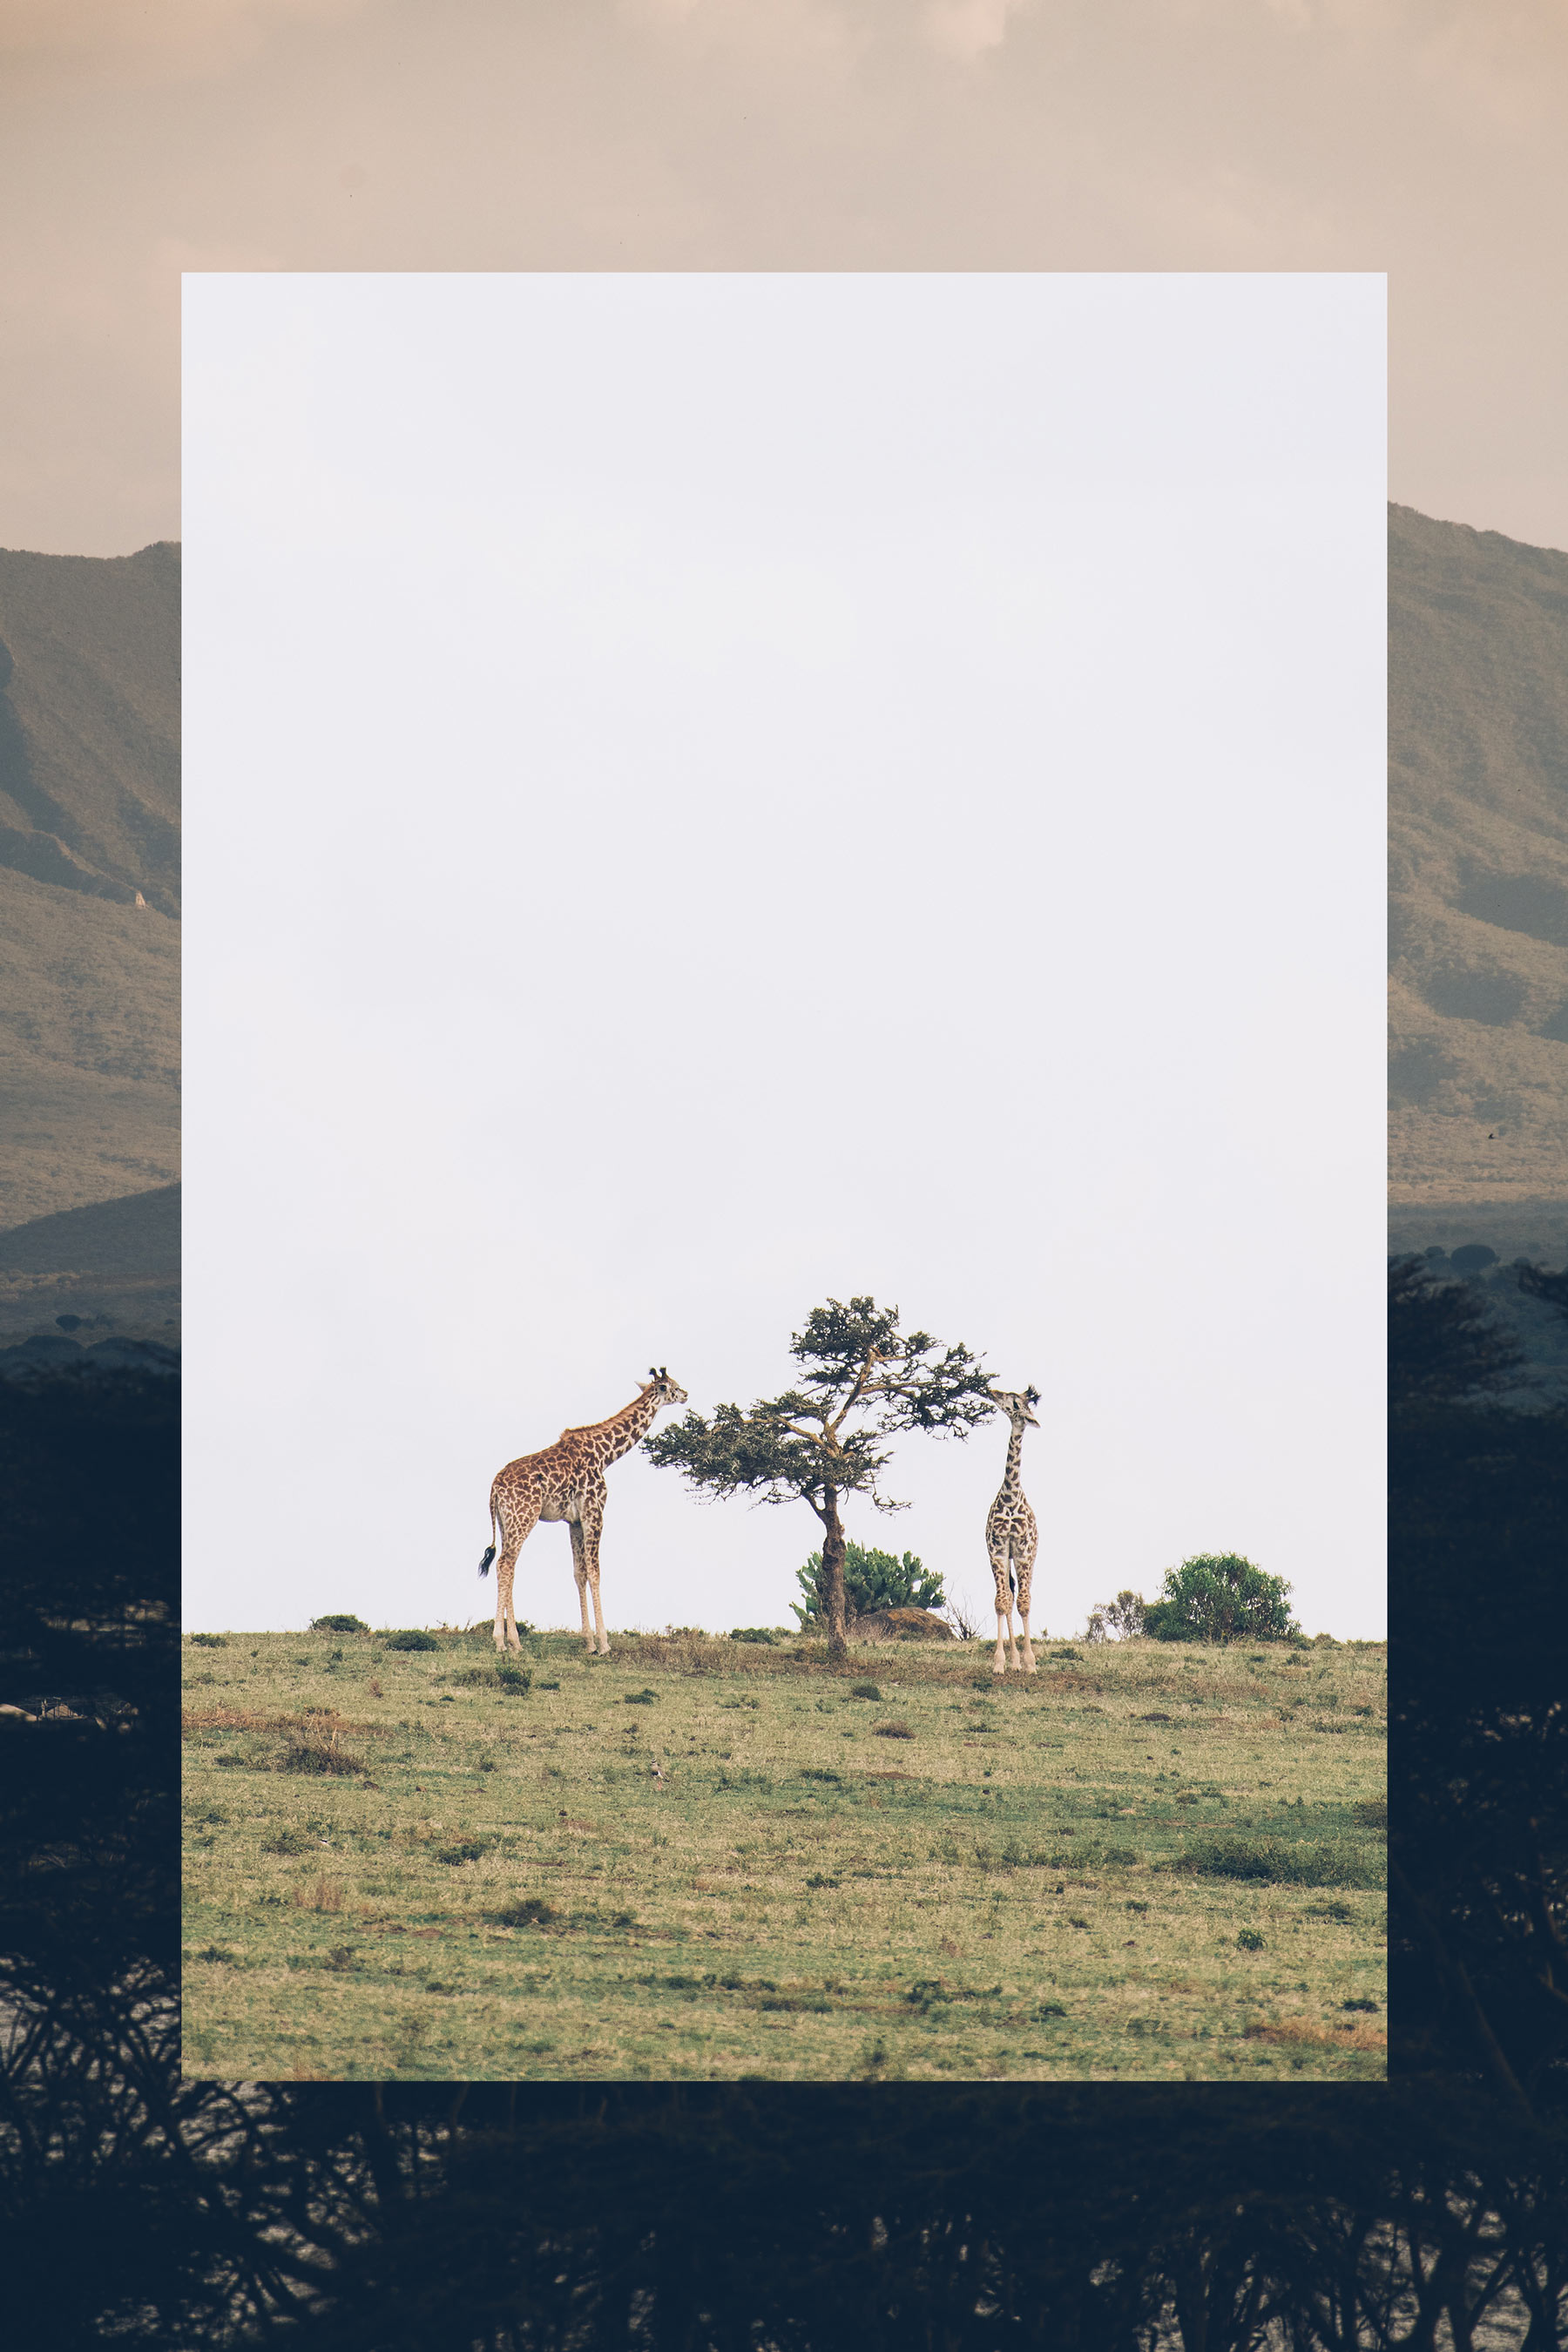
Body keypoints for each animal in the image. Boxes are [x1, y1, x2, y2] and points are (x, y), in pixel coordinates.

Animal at [479, 1364, 686, 1655]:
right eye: (673, 1386)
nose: (687, 1394)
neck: (605, 1455)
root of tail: (495, 1487)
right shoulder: (594, 1511)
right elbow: (596, 1572)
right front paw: (604, 1643)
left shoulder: (574, 1521)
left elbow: (580, 1573)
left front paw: (588, 1642)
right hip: (524, 1516)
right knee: (506, 1564)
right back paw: (502, 1642)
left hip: (505, 1522)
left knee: (508, 1566)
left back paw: (514, 1642)